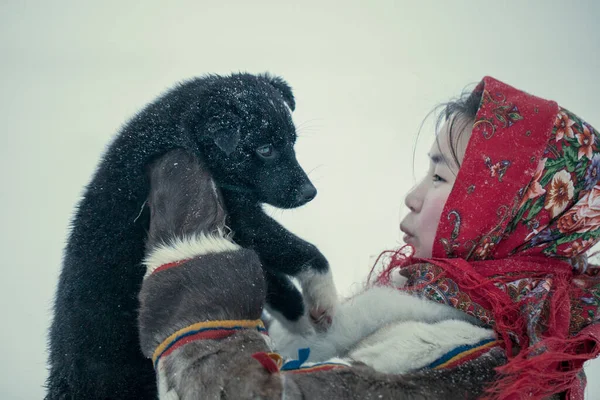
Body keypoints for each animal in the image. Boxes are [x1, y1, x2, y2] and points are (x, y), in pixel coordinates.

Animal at [47, 72, 338, 400]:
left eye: (292, 142)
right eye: (265, 149)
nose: (310, 192)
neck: (180, 134)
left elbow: (278, 288)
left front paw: (309, 330)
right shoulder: (241, 219)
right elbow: (303, 252)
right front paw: (325, 299)